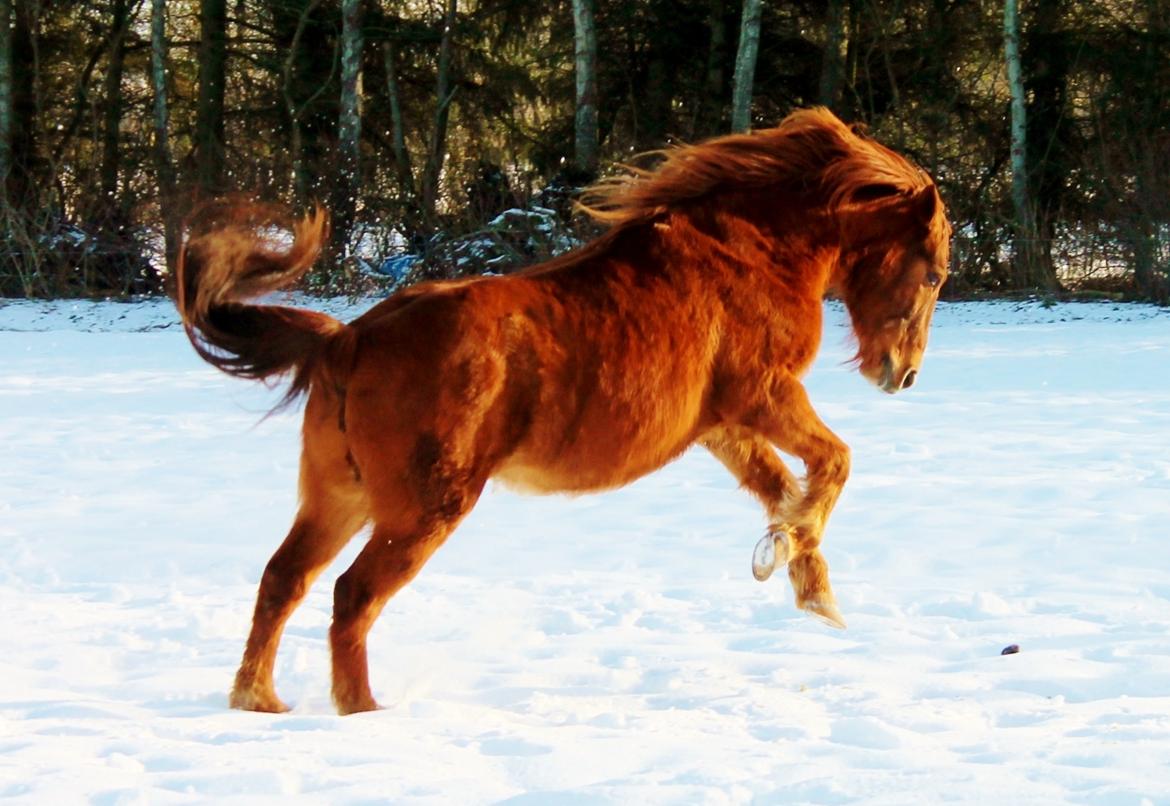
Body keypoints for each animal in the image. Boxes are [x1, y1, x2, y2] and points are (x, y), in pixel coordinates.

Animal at [180, 105, 950, 711]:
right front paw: (793, 557)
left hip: (338, 495)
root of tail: (349, 339)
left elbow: (783, 487)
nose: (904, 375)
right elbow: (834, 463)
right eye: (935, 272)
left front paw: (798, 573)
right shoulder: (764, 394)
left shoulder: (721, 426)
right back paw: (362, 711)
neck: (751, 250)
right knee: (351, 597)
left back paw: (258, 700)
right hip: (423, 509)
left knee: (283, 580)